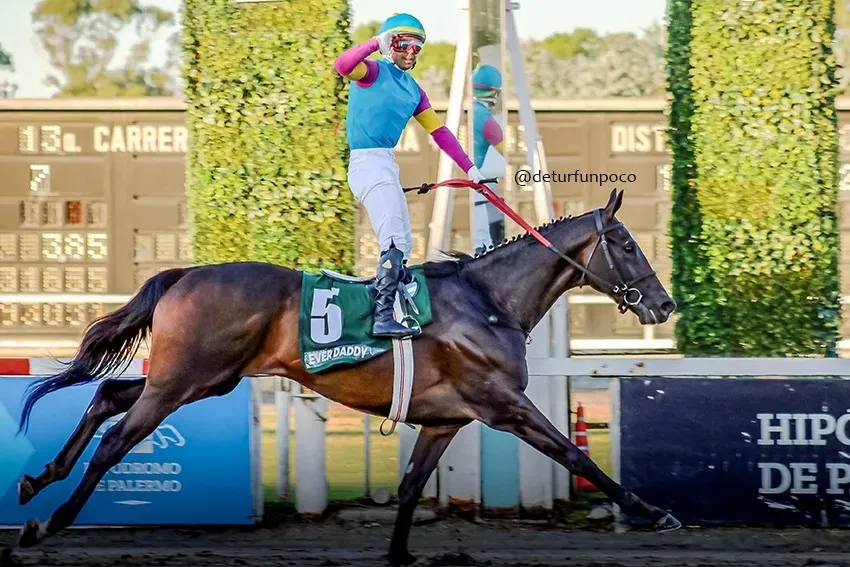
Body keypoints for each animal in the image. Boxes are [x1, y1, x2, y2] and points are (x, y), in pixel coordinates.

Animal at [9, 190, 680, 564]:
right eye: (625, 243)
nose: (664, 305)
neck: (489, 300)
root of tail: (184, 273)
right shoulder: (504, 404)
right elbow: (576, 454)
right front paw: (652, 512)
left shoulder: (445, 420)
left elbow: (410, 488)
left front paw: (400, 555)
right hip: (184, 381)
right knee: (117, 440)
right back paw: (50, 520)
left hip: (197, 378)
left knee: (106, 394)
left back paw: (38, 478)